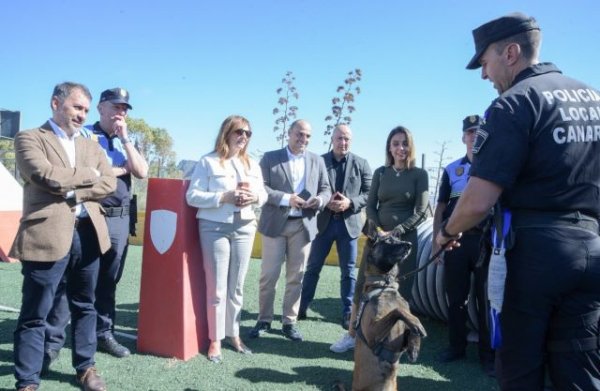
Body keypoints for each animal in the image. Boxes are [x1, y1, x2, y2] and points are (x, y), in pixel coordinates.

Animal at [352, 236, 426, 391]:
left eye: (398, 238)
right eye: (388, 241)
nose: (409, 244)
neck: (384, 286)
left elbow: (408, 326)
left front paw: (415, 346)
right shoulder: (372, 333)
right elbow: (398, 311)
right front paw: (417, 323)